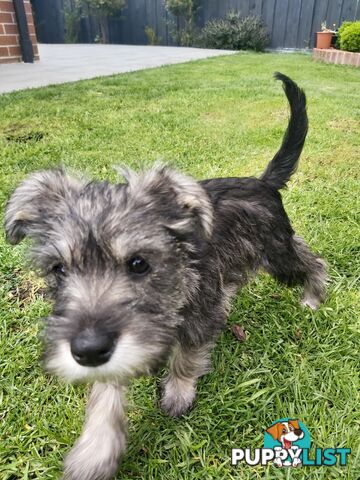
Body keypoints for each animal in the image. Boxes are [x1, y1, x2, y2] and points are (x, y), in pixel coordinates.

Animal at [4, 73, 326, 478]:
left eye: (139, 263)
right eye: (58, 269)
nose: (88, 351)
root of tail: (263, 182)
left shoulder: (196, 317)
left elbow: (186, 356)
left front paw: (177, 394)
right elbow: (105, 389)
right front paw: (95, 450)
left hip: (277, 255)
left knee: (311, 260)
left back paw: (314, 296)